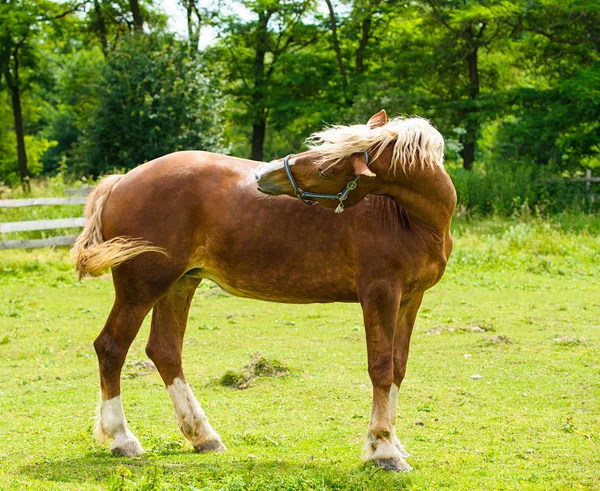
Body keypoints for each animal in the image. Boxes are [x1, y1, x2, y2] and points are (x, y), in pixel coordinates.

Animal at [71, 110, 454, 472]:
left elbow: (398, 368)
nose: (263, 176)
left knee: (164, 351)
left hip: (179, 284)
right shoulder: (380, 294)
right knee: (111, 347)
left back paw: (203, 436)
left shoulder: (409, 299)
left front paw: (394, 442)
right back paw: (122, 438)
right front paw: (383, 449)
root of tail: (122, 181)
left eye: (326, 167)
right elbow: (381, 368)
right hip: (142, 288)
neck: (406, 218)